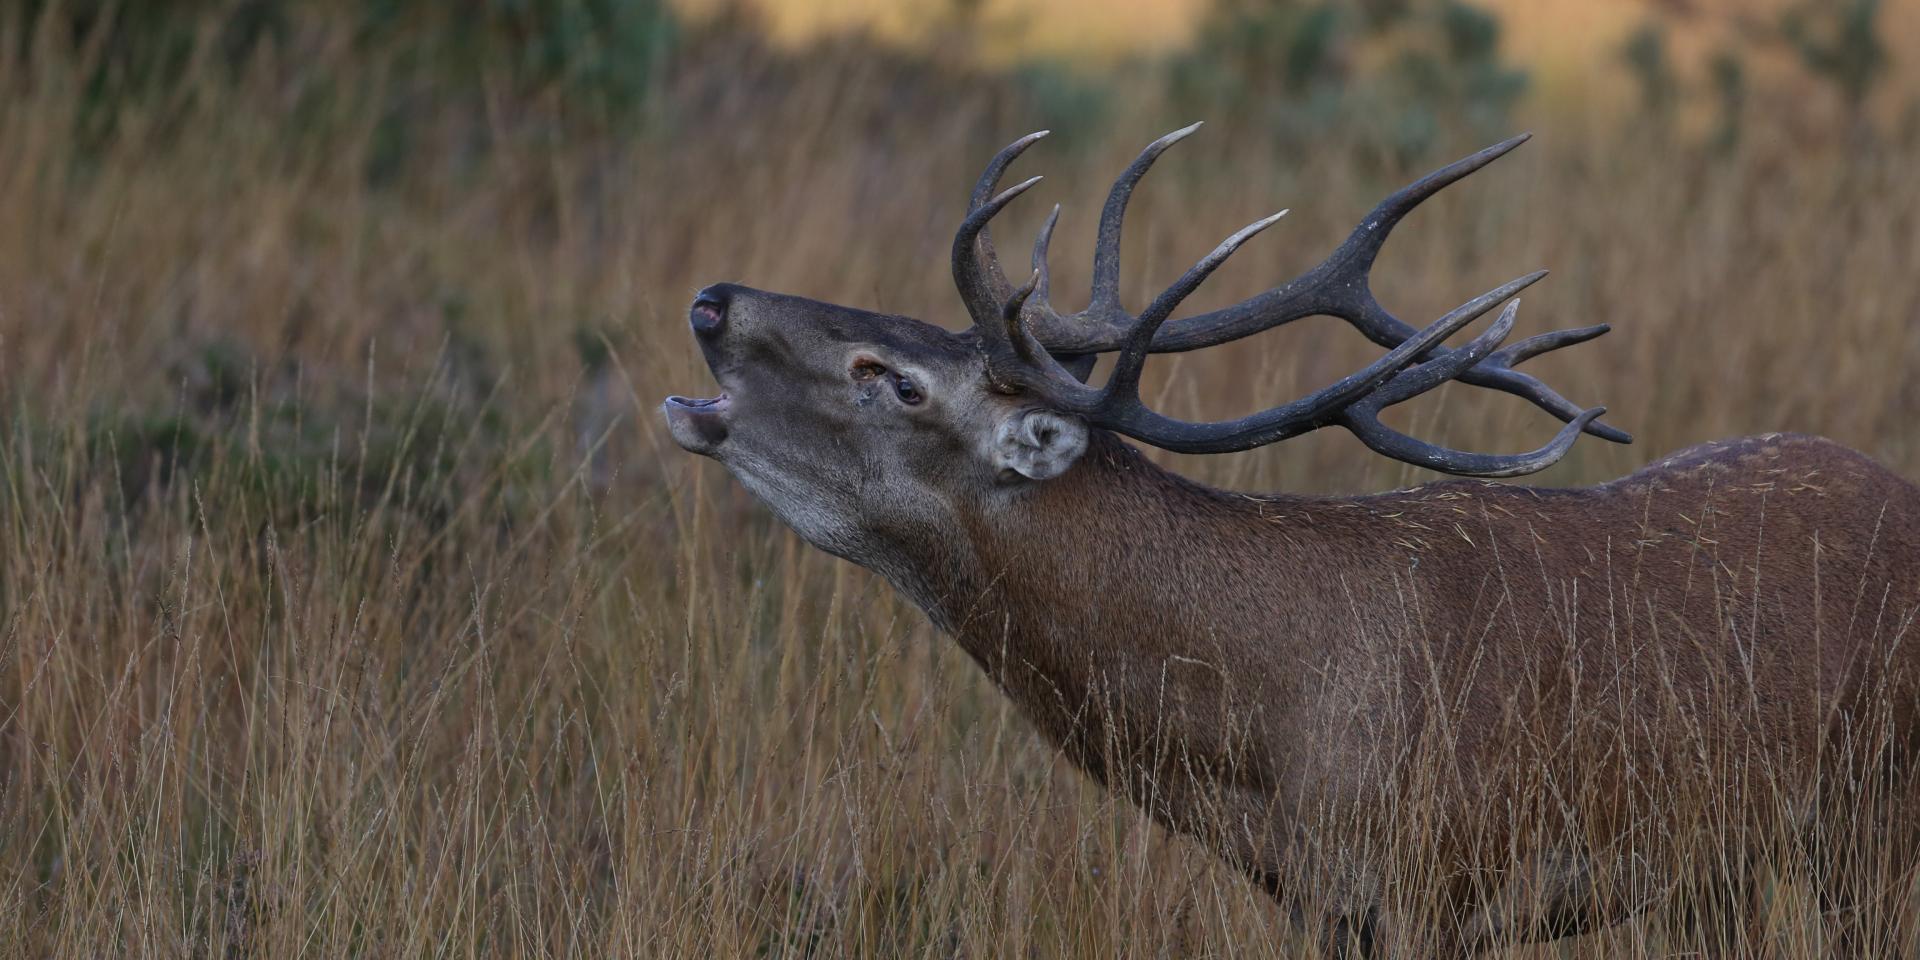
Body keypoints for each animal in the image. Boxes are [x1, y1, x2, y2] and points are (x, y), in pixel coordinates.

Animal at [661, 126, 1920, 957]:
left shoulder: (1433, 880)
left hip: (1872, 819)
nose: (712, 299)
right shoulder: (1325, 907)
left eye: (895, 377)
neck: (1262, 740)